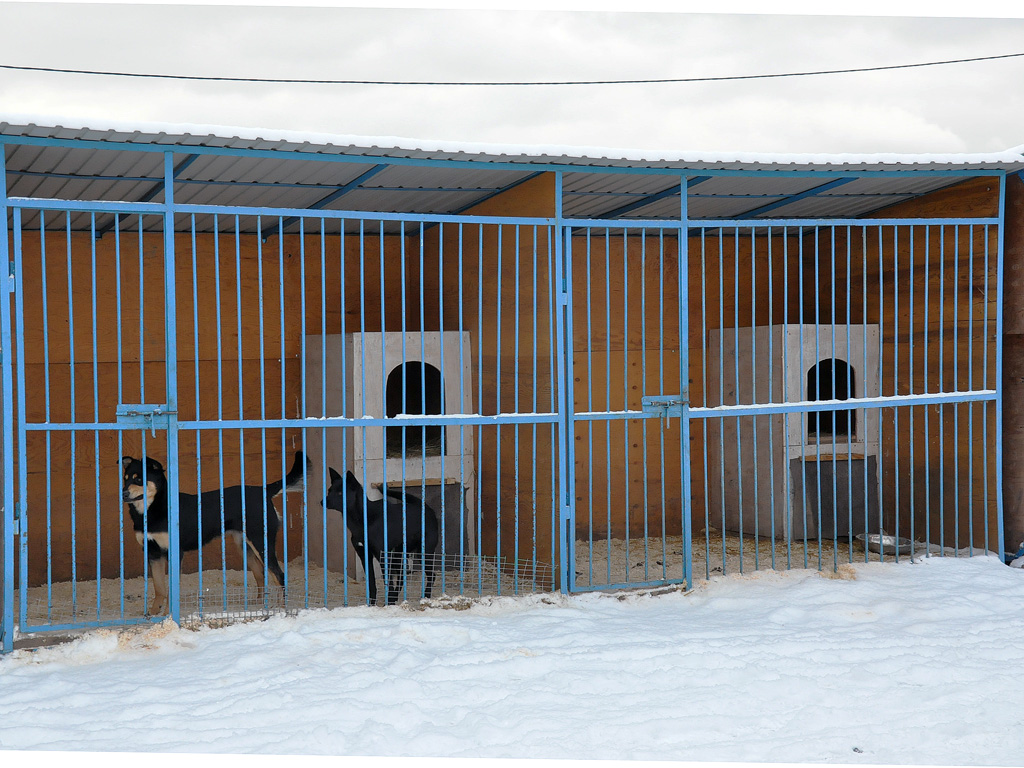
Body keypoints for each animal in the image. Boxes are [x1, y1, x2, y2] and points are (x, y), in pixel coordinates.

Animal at [120, 454, 307, 618]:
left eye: (139, 479)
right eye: (125, 478)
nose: (123, 493)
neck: (153, 508)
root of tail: (264, 491)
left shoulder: (174, 552)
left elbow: (172, 589)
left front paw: (168, 615)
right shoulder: (152, 553)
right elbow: (159, 587)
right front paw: (153, 613)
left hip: (261, 543)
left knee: (279, 575)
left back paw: (282, 609)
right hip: (245, 547)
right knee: (260, 575)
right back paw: (258, 605)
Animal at [323, 468, 440, 606]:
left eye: (341, 493)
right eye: (329, 491)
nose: (322, 502)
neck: (363, 519)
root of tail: (426, 508)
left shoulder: (382, 556)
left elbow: (388, 583)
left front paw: (389, 603)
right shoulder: (365, 556)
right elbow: (372, 584)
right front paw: (372, 604)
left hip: (423, 553)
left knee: (431, 575)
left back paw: (425, 596)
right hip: (398, 555)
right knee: (401, 577)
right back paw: (396, 597)